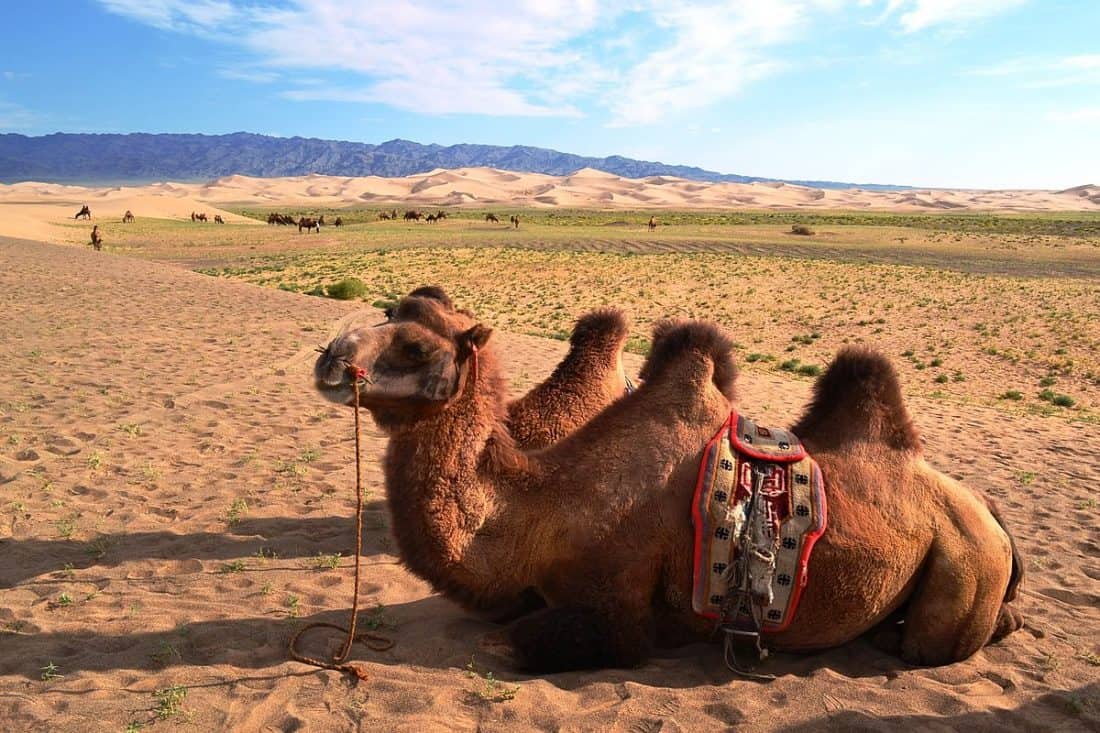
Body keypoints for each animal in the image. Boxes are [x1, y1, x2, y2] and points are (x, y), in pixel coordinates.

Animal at [312, 288, 1020, 669]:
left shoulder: (620, 610)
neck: (540, 508)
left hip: (964, 562)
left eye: (415, 347)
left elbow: (519, 640)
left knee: (932, 643)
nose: (330, 358)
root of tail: (987, 509)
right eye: (386, 311)